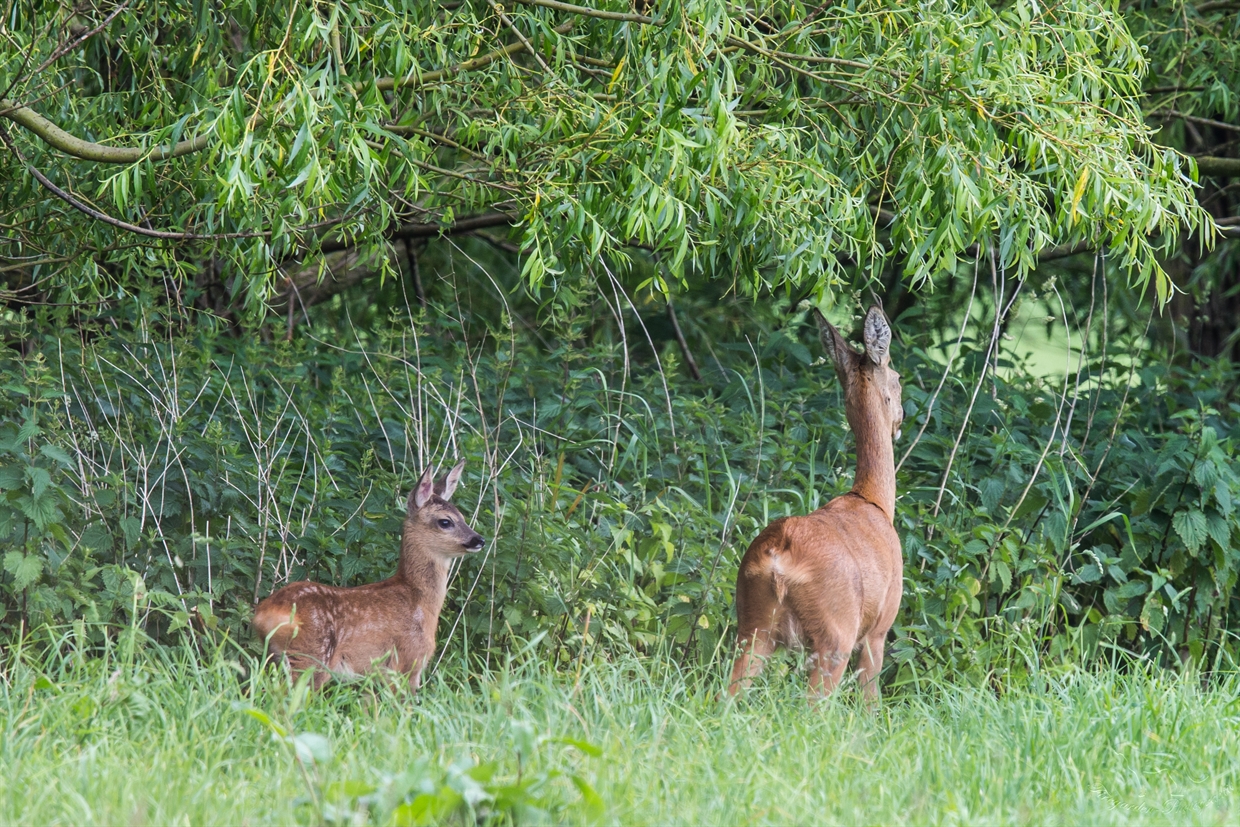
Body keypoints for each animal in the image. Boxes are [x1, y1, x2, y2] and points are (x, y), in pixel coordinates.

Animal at [252, 458, 483, 694]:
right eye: (445, 522)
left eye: (463, 517)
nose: (479, 539)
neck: (419, 600)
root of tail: (265, 614)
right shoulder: (409, 659)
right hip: (311, 655)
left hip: (276, 656)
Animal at [729, 307, 907, 704]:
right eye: (899, 378)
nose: (901, 420)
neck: (874, 501)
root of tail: (780, 556)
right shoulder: (878, 629)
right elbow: (870, 704)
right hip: (835, 634)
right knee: (813, 707)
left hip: (752, 627)